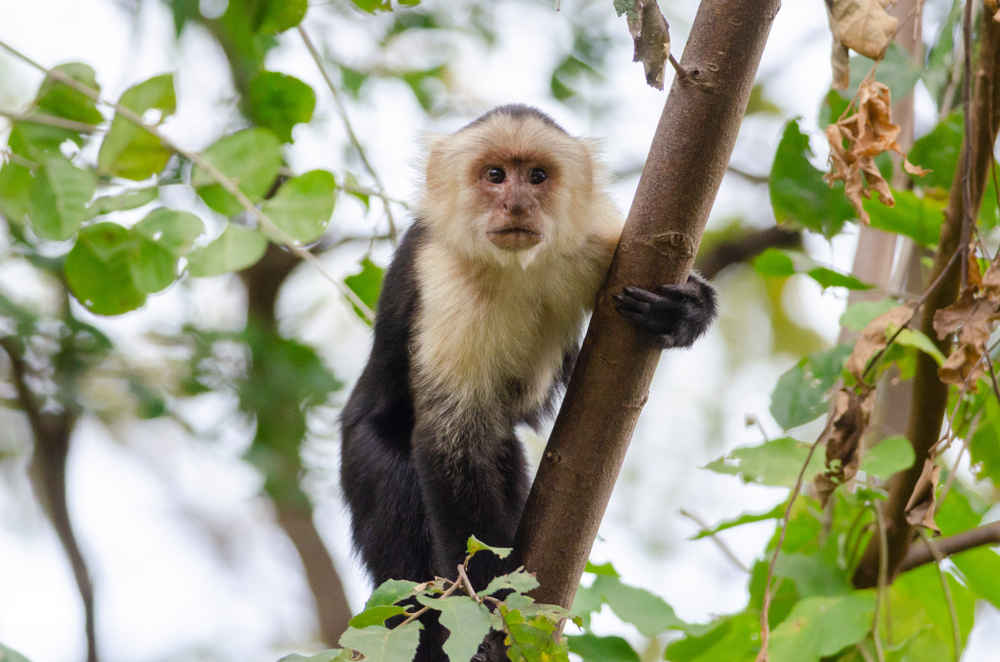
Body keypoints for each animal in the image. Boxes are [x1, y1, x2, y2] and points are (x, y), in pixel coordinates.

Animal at [340, 106, 716, 660]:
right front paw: (491, 603)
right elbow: (451, 441)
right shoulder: (445, 278)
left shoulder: (603, 244)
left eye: (537, 176)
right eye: (496, 175)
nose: (517, 203)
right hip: (364, 452)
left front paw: (687, 308)